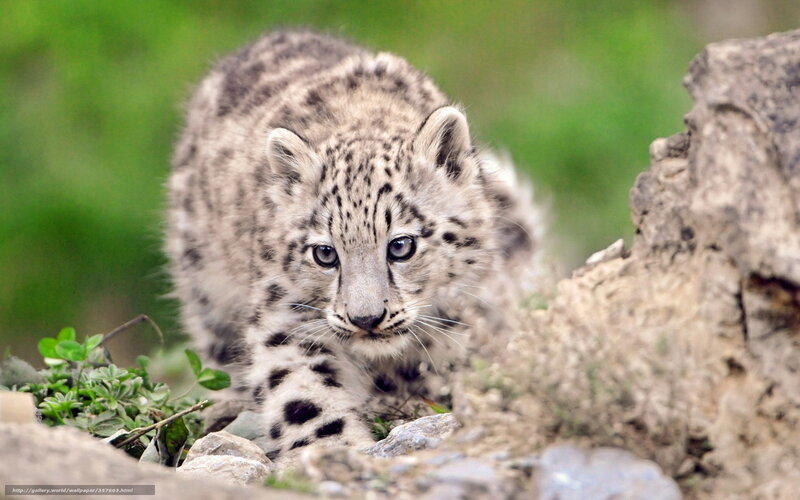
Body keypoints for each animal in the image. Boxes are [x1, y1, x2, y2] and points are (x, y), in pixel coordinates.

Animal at [165, 29, 544, 462]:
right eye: (325, 253)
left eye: (401, 245)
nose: (366, 319)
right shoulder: (285, 314)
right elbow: (301, 391)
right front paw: (332, 449)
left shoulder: (461, 311)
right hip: (205, 283)